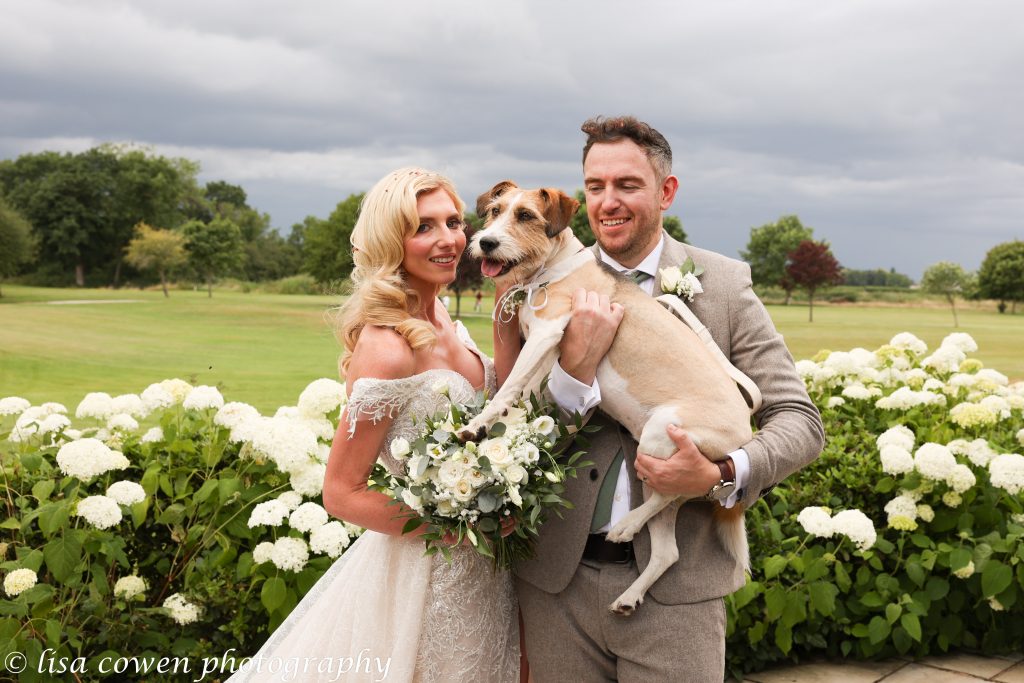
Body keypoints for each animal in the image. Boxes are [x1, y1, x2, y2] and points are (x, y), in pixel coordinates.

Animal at [458, 179, 761, 618]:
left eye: (526, 215)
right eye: (495, 211)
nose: (485, 242)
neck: (550, 272)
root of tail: (745, 435)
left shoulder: (547, 335)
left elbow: (511, 387)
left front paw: (479, 425)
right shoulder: (547, 352)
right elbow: (528, 396)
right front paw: (511, 435)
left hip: (661, 438)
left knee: (669, 493)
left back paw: (625, 526)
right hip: (655, 466)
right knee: (668, 549)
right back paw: (629, 596)